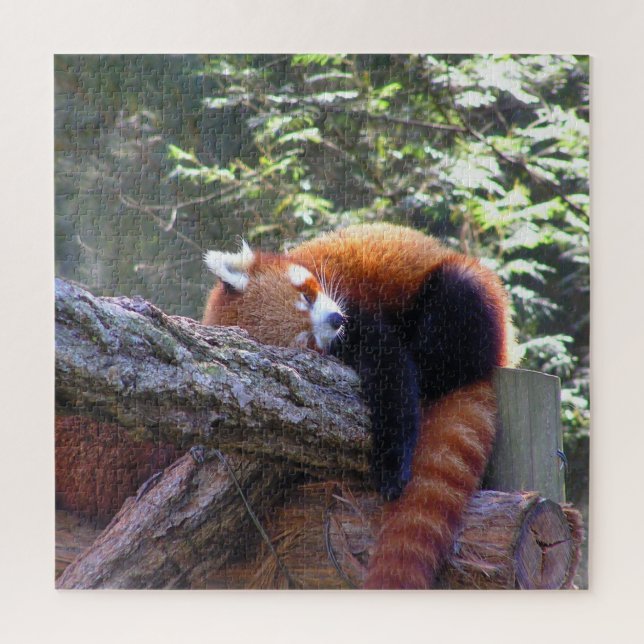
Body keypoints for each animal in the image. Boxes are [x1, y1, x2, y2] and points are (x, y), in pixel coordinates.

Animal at [203, 223, 512, 589]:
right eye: (306, 341)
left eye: (307, 296)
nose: (336, 320)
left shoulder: (357, 305)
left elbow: (392, 374)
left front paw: (392, 467)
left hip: (469, 292)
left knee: (459, 300)